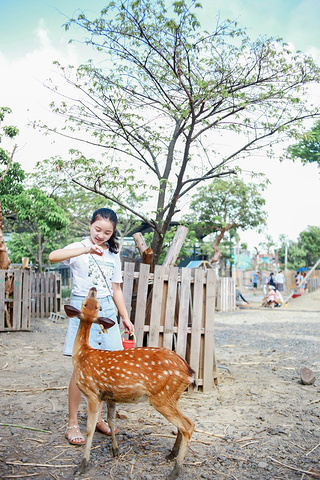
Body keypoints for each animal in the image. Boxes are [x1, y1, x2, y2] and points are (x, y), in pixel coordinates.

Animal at [63, 286, 195, 478]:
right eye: (87, 304)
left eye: (96, 306)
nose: (93, 288)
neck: (82, 354)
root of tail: (189, 371)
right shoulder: (110, 396)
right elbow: (111, 421)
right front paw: (115, 451)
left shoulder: (92, 392)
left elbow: (90, 429)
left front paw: (83, 464)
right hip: (172, 396)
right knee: (184, 423)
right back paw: (171, 454)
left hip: (162, 396)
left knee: (188, 425)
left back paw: (175, 470)